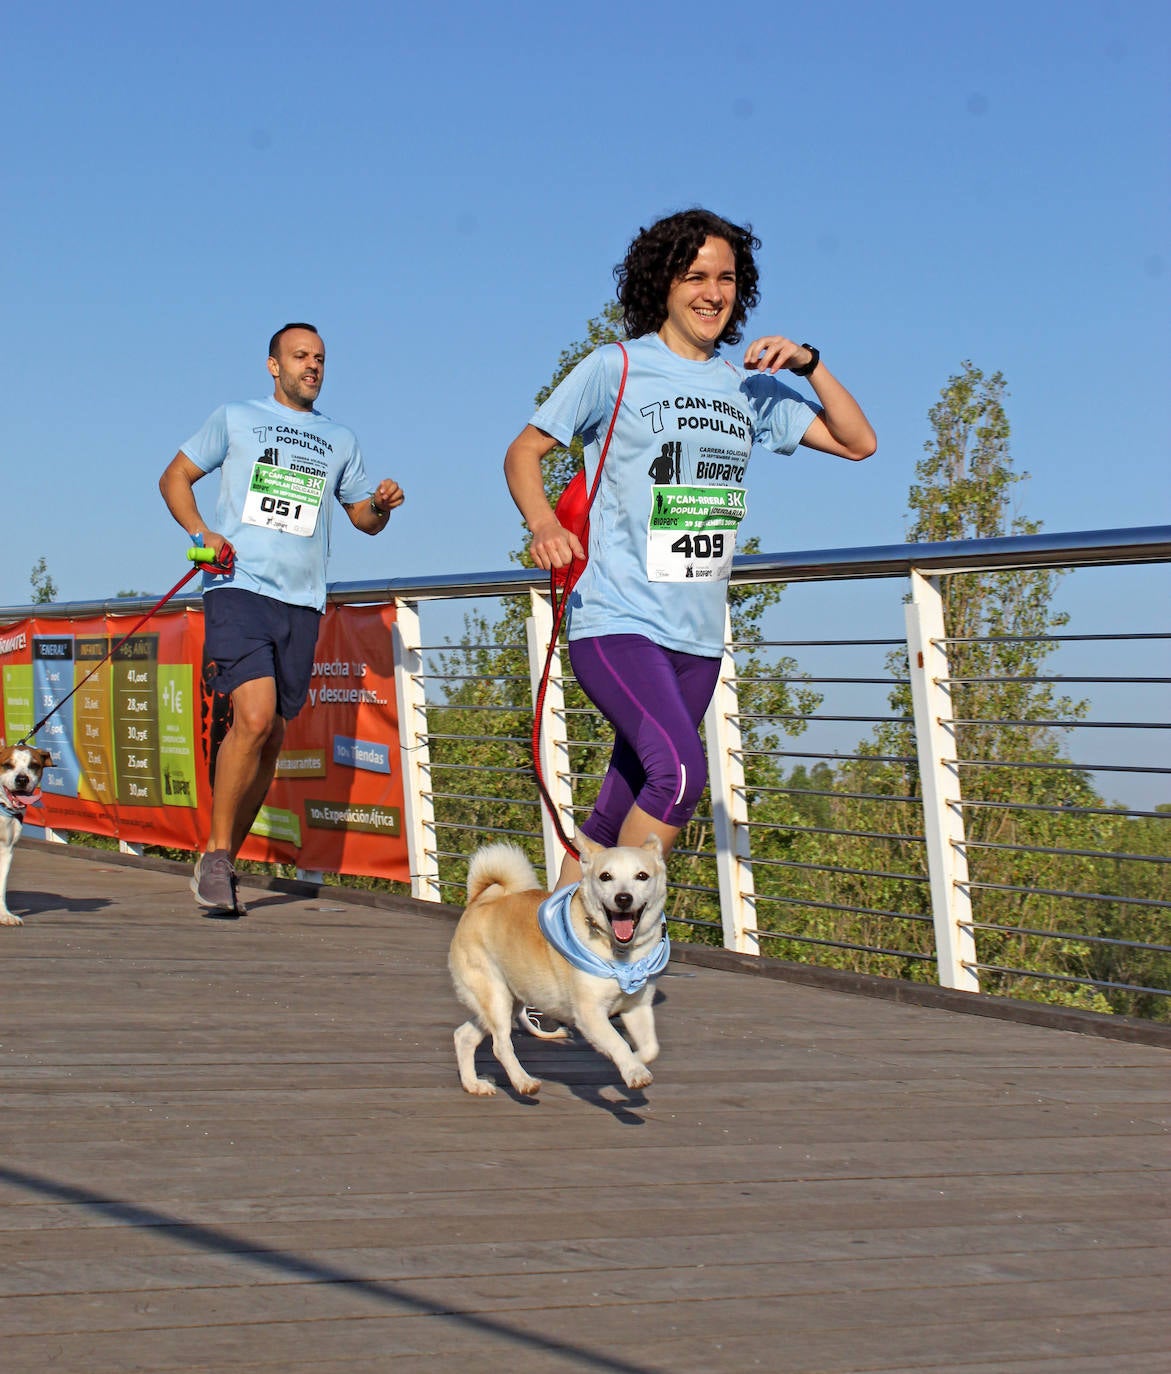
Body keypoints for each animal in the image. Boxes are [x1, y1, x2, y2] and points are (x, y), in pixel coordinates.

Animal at [0, 747, 51, 928]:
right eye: (7, 765)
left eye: (33, 765)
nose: (22, 779)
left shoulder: (6, 851)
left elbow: (1, 886)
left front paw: (4, 915)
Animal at [448, 829, 667, 1099]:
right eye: (605, 876)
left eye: (642, 876)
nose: (623, 898)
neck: (623, 957)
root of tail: (478, 901)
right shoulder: (590, 1013)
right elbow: (618, 1042)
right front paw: (634, 1071)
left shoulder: (638, 1008)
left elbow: (649, 1048)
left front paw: (634, 1061)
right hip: (496, 998)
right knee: (501, 1046)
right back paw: (523, 1082)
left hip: (506, 1001)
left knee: (464, 1036)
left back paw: (474, 1084)